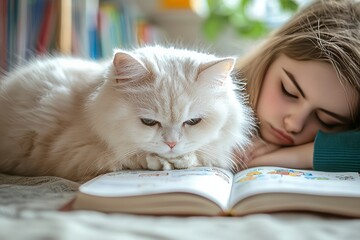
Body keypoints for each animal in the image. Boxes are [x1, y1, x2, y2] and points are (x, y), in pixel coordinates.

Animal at [0, 45, 253, 180]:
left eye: (193, 122)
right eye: (148, 122)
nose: (171, 144)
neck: (88, 103)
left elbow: (199, 155)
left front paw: (181, 159)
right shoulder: (73, 152)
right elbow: (129, 156)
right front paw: (161, 162)